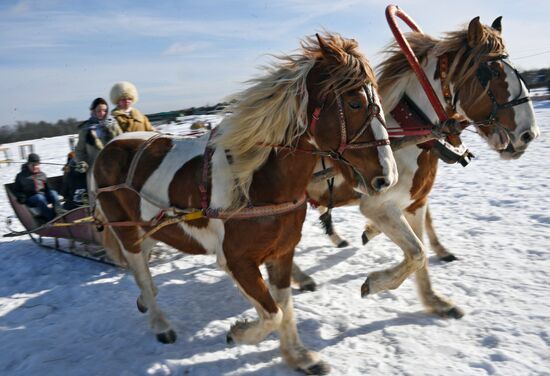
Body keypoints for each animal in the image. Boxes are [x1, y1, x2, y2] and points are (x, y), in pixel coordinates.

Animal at [92, 33, 398, 376]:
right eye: (355, 102)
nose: (387, 177)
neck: (256, 182)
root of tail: (107, 148)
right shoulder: (237, 261)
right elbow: (273, 313)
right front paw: (238, 333)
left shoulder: (281, 252)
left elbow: (285, 308)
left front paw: (299, 356)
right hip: (127, 231)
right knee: (141, 270)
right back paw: (159, 322)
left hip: (149, 228)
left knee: (142, 265)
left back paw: (146, 301)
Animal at [296, 17, 540, 318]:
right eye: (492, 72)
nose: (529, 133)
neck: (408, 137)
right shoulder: (379, 206)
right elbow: (417, 253)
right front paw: (375, 282)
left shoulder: (416, 203)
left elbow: (421, 253)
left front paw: (435, 301)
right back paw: (300, 278)